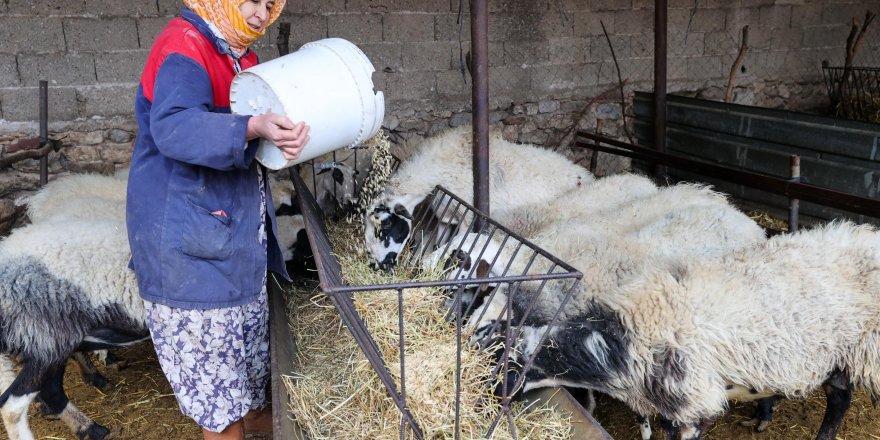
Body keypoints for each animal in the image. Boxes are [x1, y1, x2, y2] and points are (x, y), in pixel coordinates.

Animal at [360, 124, 596, 274]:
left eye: (386, 226)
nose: (377, 266)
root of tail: (588, 176)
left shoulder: (467, 219)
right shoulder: (446, 216)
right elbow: (439, 242)